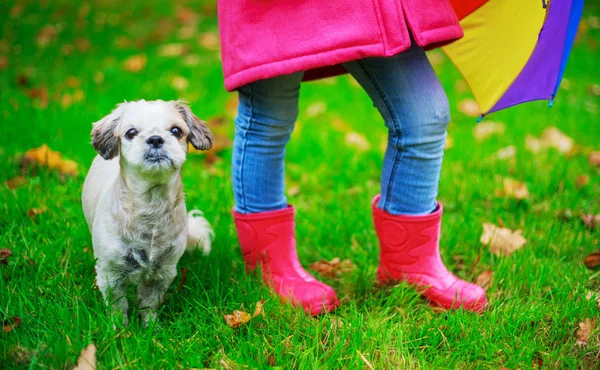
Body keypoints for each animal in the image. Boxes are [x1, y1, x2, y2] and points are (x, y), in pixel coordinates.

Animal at [83, 98, 214, 324]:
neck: (150, 206)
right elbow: (118, 307)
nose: (155, 139)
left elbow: (149, 304)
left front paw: (149, 327)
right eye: (131, 133)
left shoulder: (162, 272)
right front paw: (120, 329)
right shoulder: (111, 274)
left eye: (176, 131)